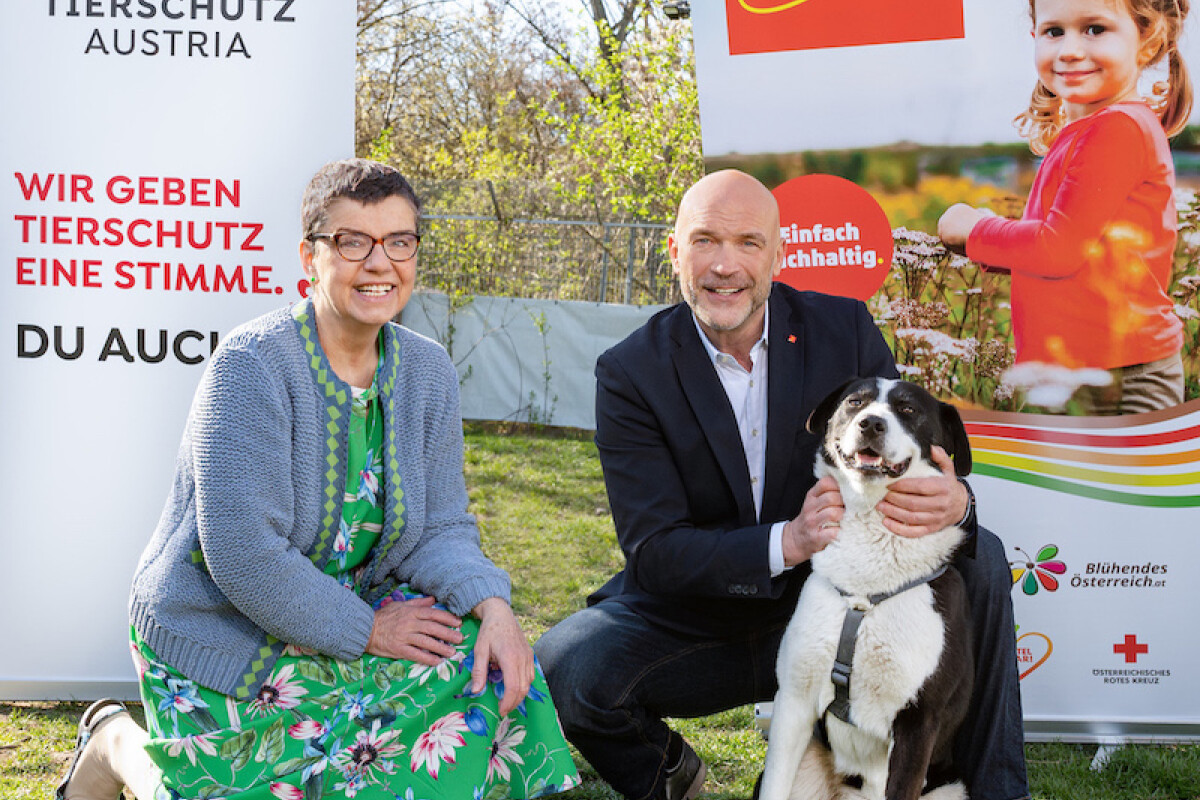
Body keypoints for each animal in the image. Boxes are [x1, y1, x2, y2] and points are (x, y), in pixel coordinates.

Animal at [758, 381, 974, 800]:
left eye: (908, 409)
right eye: (854, 402)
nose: (871, 423)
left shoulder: (918, 723)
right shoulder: (793, 701)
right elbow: (773, 786)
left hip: (951, 788)